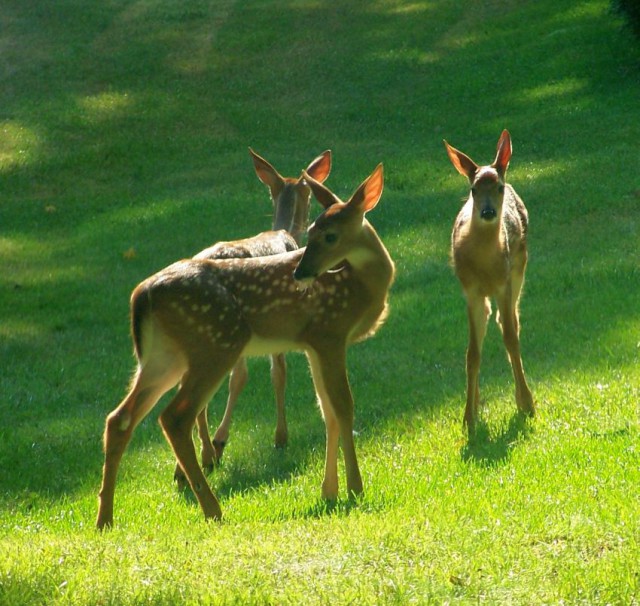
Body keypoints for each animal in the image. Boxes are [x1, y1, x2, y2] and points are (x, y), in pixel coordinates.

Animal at [444, 131, 536, 434]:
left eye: (498, 187)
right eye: (473, 189)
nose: (486, 212)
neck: (483, 264)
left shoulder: (503, 283)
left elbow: (510, 338)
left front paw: (527, 404)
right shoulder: (470, 291)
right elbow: (472, 353)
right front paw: (469, 418)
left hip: (519, 268)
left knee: (511, 324)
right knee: (488, 321)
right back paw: (476, 402)